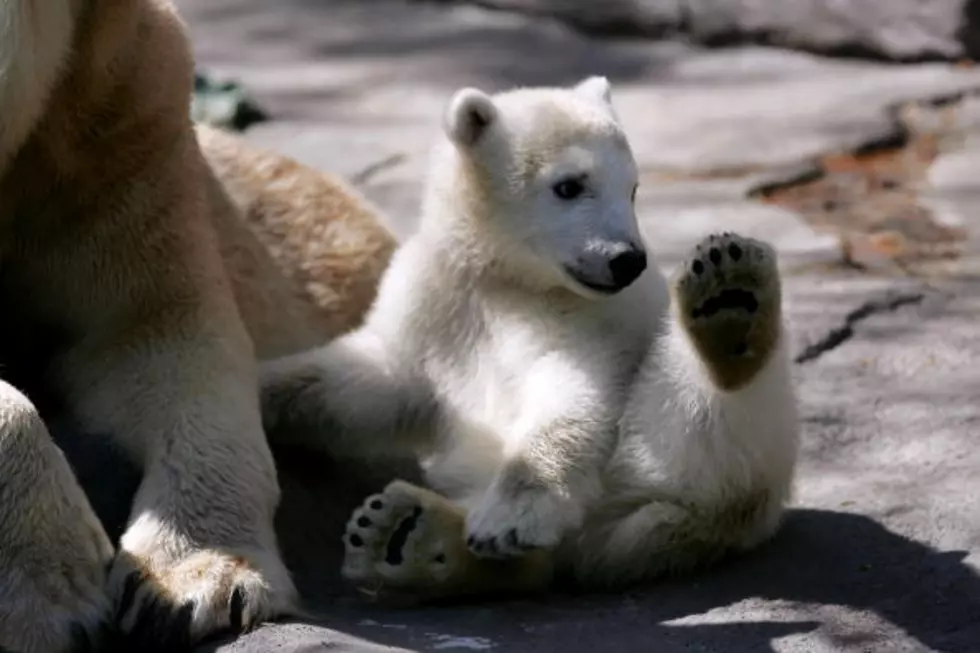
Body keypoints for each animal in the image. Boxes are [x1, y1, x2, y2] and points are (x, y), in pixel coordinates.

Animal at [264, 76, 800, 596]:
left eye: (631, 188)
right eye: (570, 186)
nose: (627, 259)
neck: (509, 276)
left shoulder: (586, 318)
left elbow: (569, 394)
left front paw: (512, 519)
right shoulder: (435, 298)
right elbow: (369, 382)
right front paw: (266, 395)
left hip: (678, 454)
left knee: (699, 410)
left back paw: (729, 312)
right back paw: (406, 536)